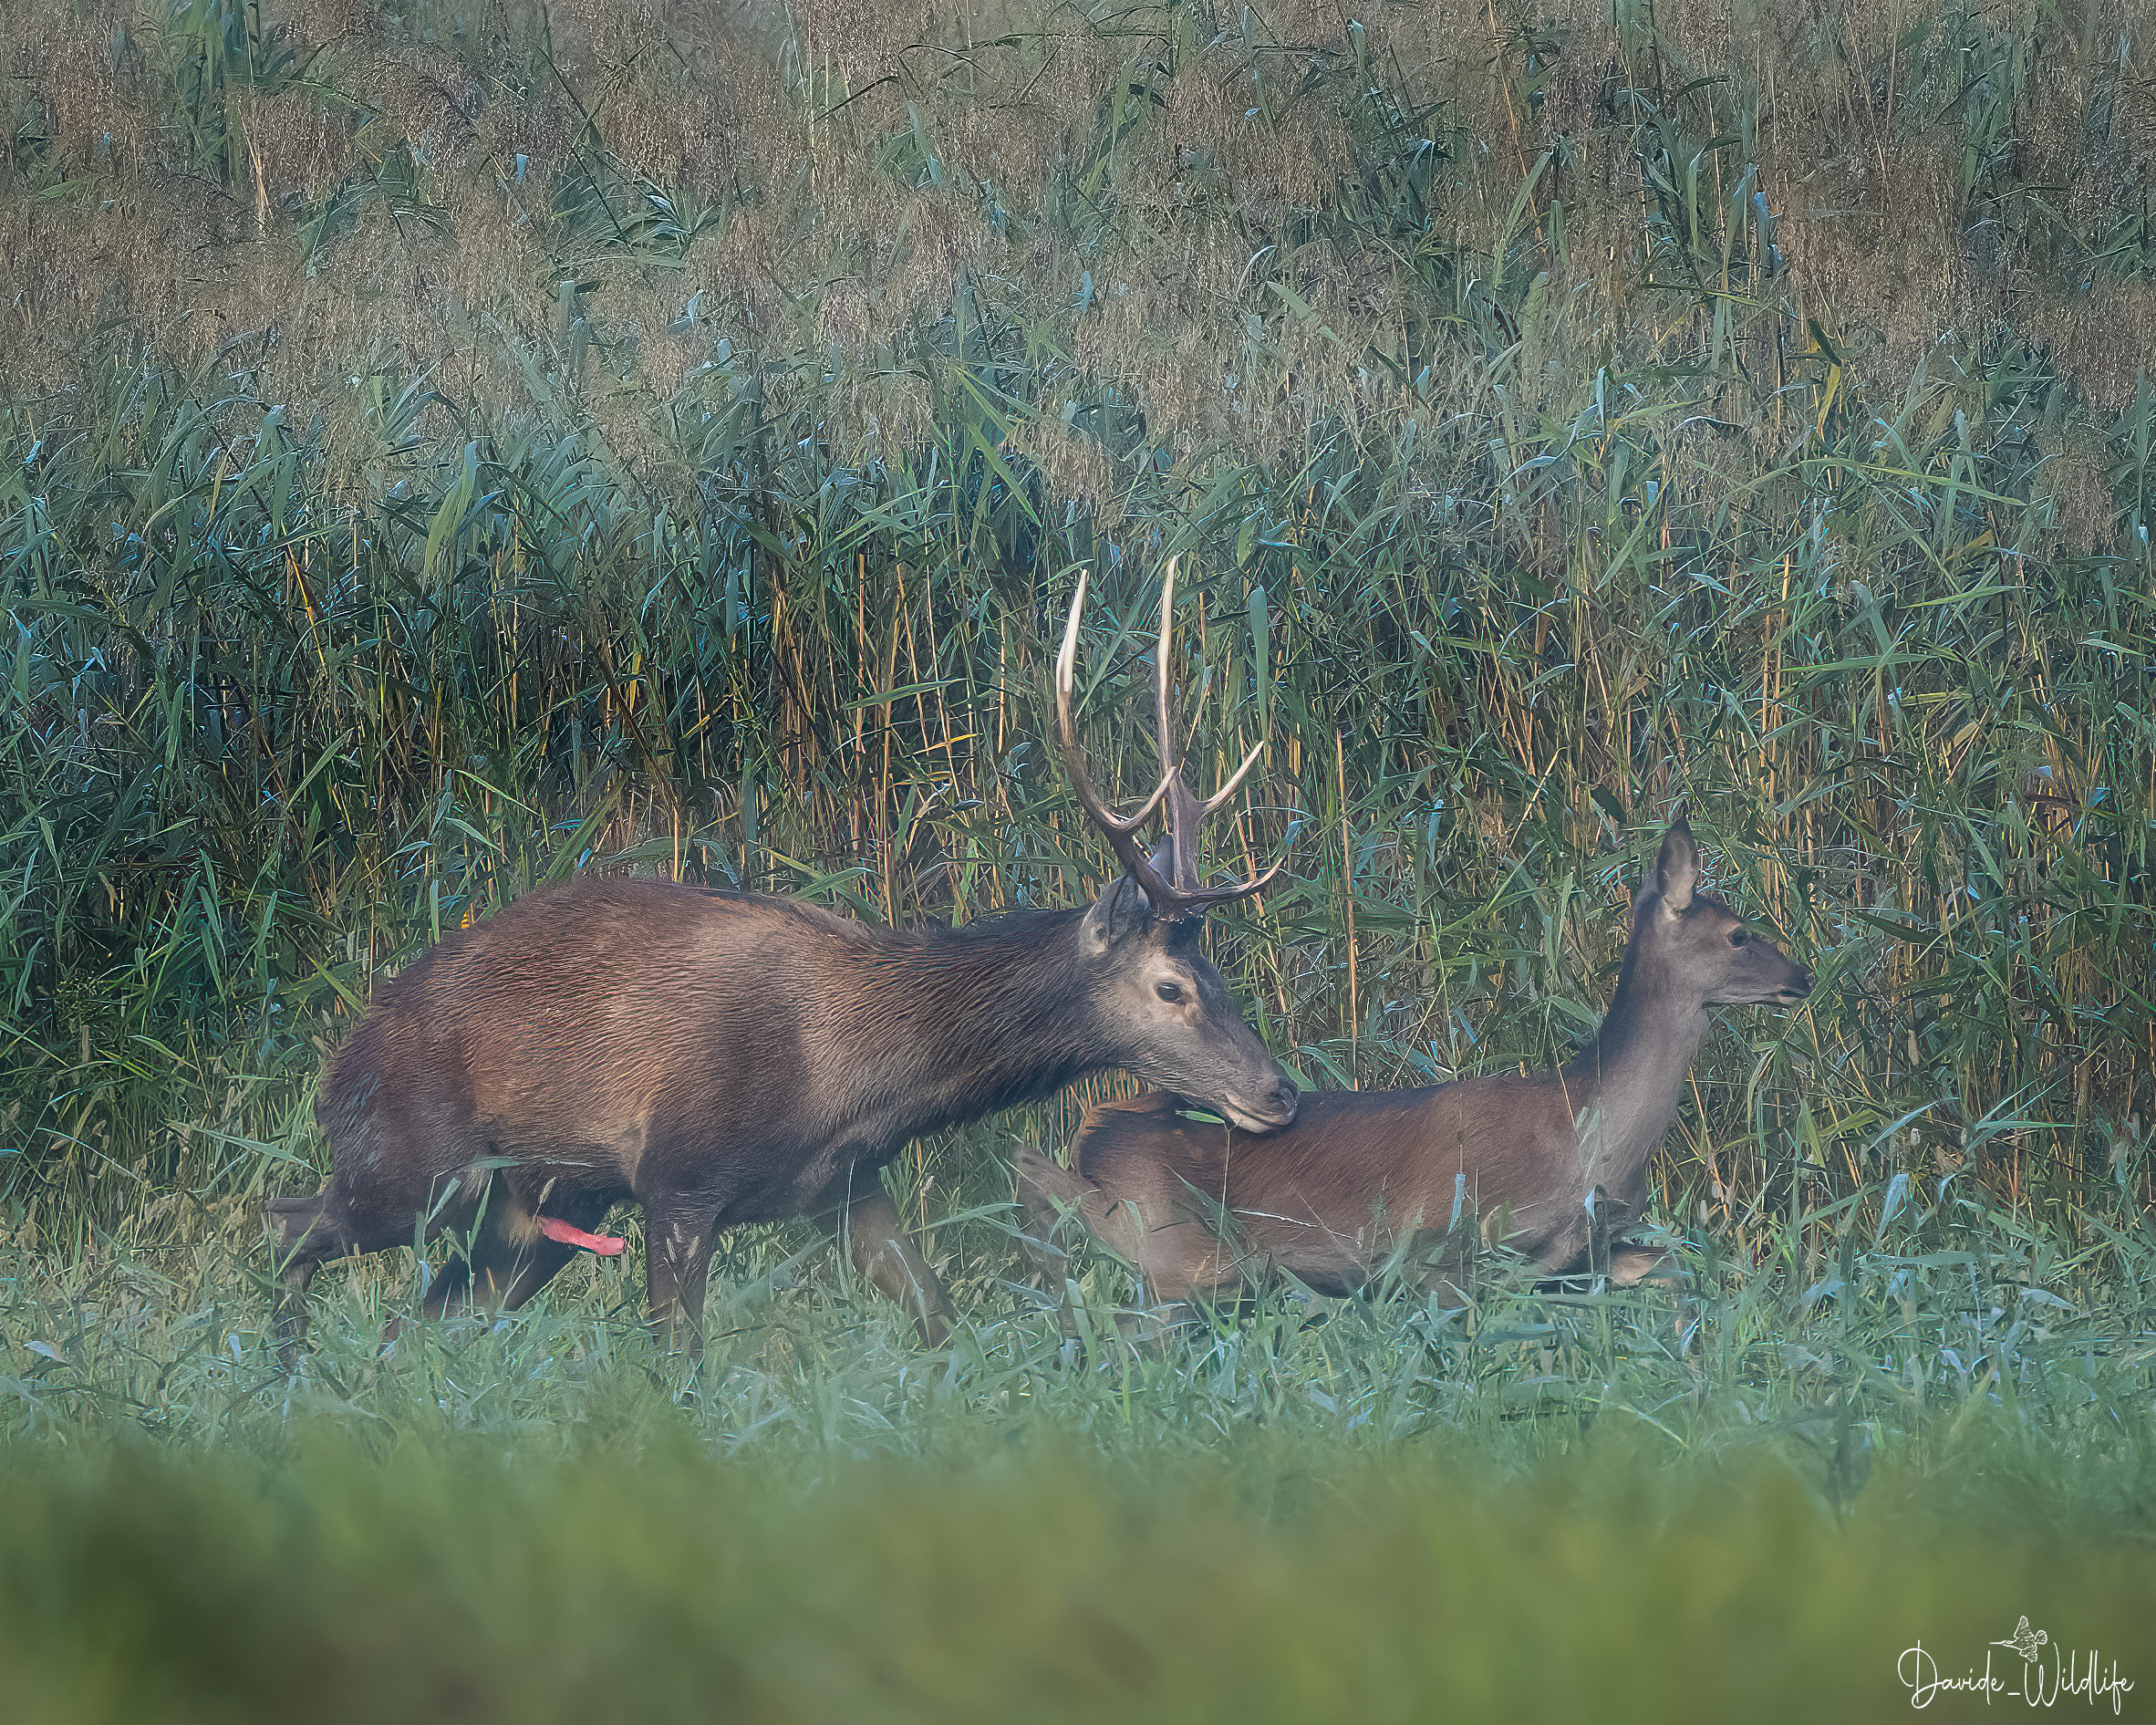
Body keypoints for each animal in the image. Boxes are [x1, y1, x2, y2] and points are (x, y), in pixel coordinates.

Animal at [264, 563, 1299, 1360]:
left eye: (1220, 976)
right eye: (1170, 986)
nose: (1278, 1091)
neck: (857, 1073)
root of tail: (342, 1057)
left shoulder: (846, 1183)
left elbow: (940, 1317)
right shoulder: (678, 1178)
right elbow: (680, 1360)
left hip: (530, 1212)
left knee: (416, 1321)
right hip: (421, 1161)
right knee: (291, 1228)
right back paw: (285, 1373)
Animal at [1014, 817, 1812, 1313]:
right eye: (1740, 933)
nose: (1803, 975)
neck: (1587, 1129)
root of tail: (1092, 1129)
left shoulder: (1587, 1255)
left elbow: (1687, 1276)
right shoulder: (1442, 1249)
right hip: (1172, 1250)